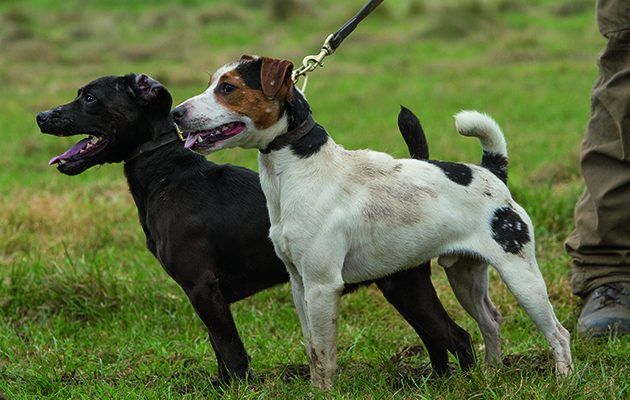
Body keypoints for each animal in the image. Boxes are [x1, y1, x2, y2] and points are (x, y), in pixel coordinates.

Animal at [34, 75, 474, 382]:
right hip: (399, 284)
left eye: (90, 98)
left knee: (457, 338)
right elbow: (219, 349)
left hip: (403, 284)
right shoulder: (204, 294)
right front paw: (221, 385)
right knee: (441, 339)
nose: (41, 116)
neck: (167, 173)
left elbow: (231, 350)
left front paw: (237, 387)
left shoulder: (203, 287)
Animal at [170, 54, 576, 390]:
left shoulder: (323, 286)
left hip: (521, 276)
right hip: (465, 275)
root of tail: (493, 174)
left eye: (228, 88)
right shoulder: (299, 284)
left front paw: (324, 393)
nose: (176, 112)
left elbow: (325, 354)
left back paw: (563, 379)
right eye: (212, 82)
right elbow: (312, 351)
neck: (300, 169)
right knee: (490, 321)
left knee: (558, 333)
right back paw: (491, 374)